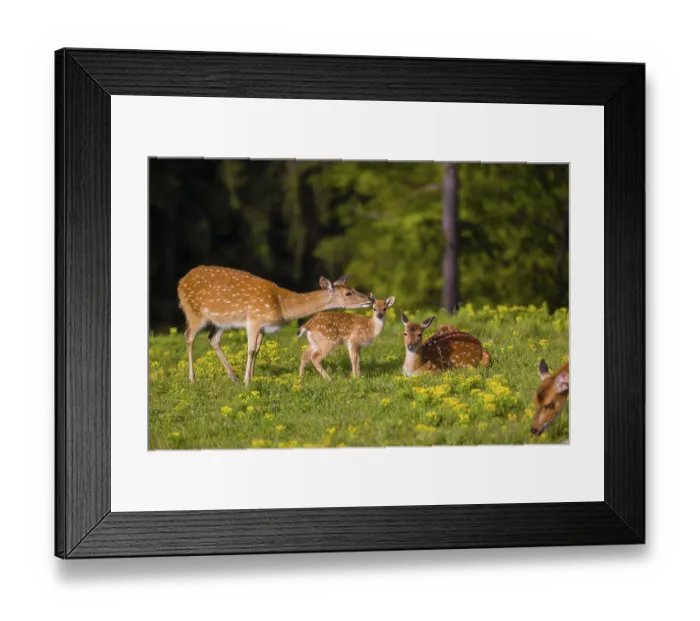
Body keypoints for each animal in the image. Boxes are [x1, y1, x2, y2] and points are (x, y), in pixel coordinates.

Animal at [177, 266, 372, 386]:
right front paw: (247, 382)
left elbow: (257, 350)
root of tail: (180, 282)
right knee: (188, 337)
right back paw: (193, 379)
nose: (369, 299)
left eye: (352, 288)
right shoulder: (254, 318)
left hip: (220, 321)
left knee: (213, 339)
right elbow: (250, 349)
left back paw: (233, 378)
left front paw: (252, 377)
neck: (281, 306)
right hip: (194, 312)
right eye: (348, 293)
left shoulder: (263, 326)